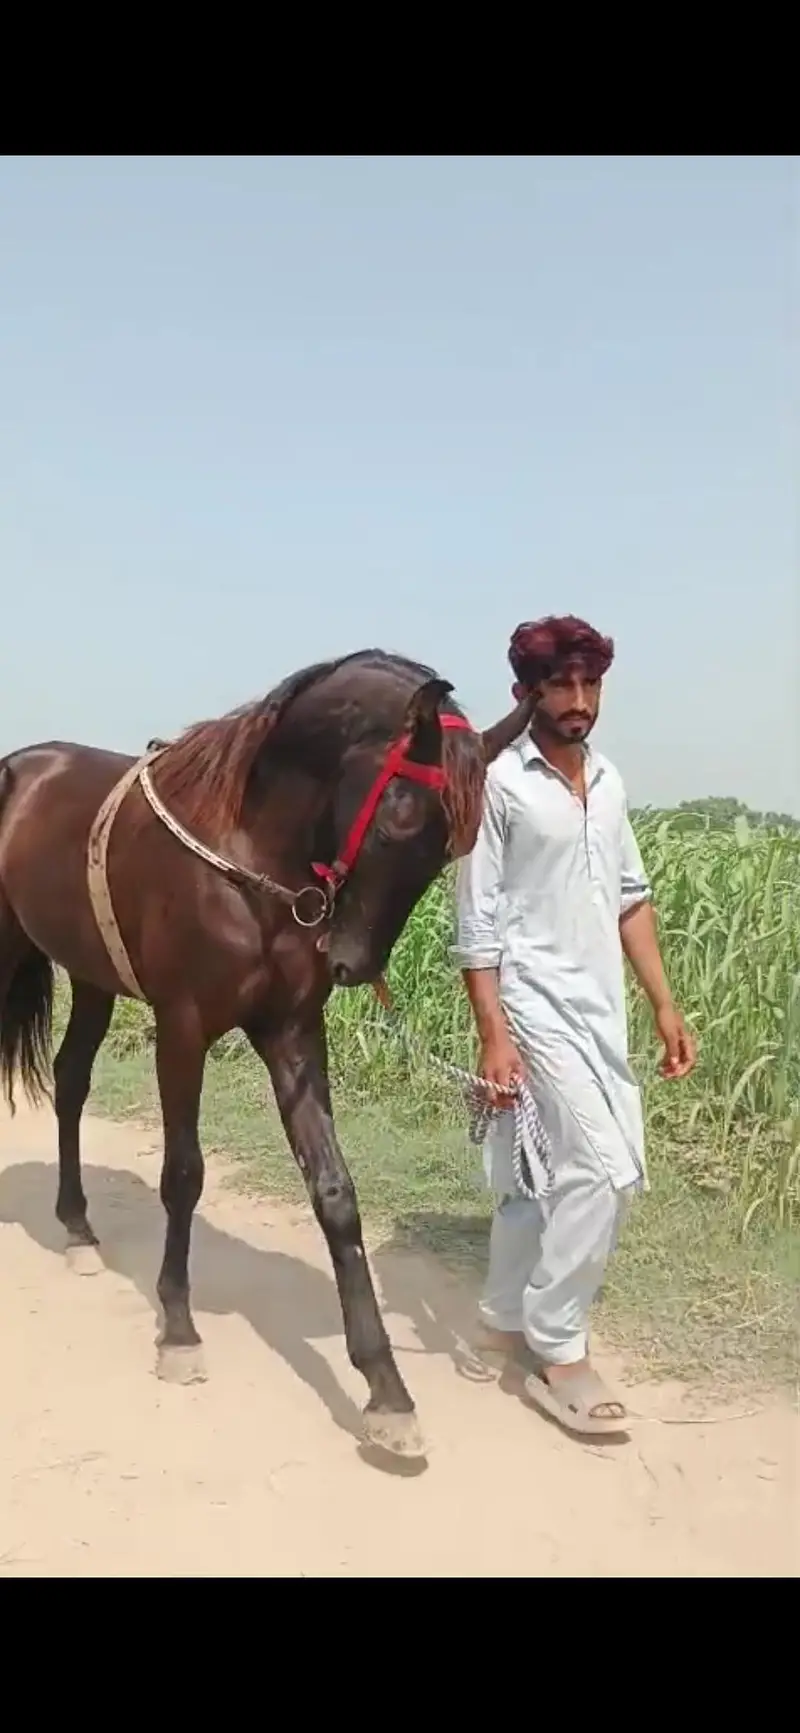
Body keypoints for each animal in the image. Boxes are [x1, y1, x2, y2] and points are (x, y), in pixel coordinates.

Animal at [0, 648, 533, 1458]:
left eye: (447, 852)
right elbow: (183, 1174)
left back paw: (79, 1229)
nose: (351, 963)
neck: (243, 854)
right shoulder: (183, 1028)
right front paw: (179, 1330)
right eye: (395, 822)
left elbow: (335, 1193)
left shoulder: (291, 1031)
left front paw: (385, 1388)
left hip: (90, 974)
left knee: (69, 1083)